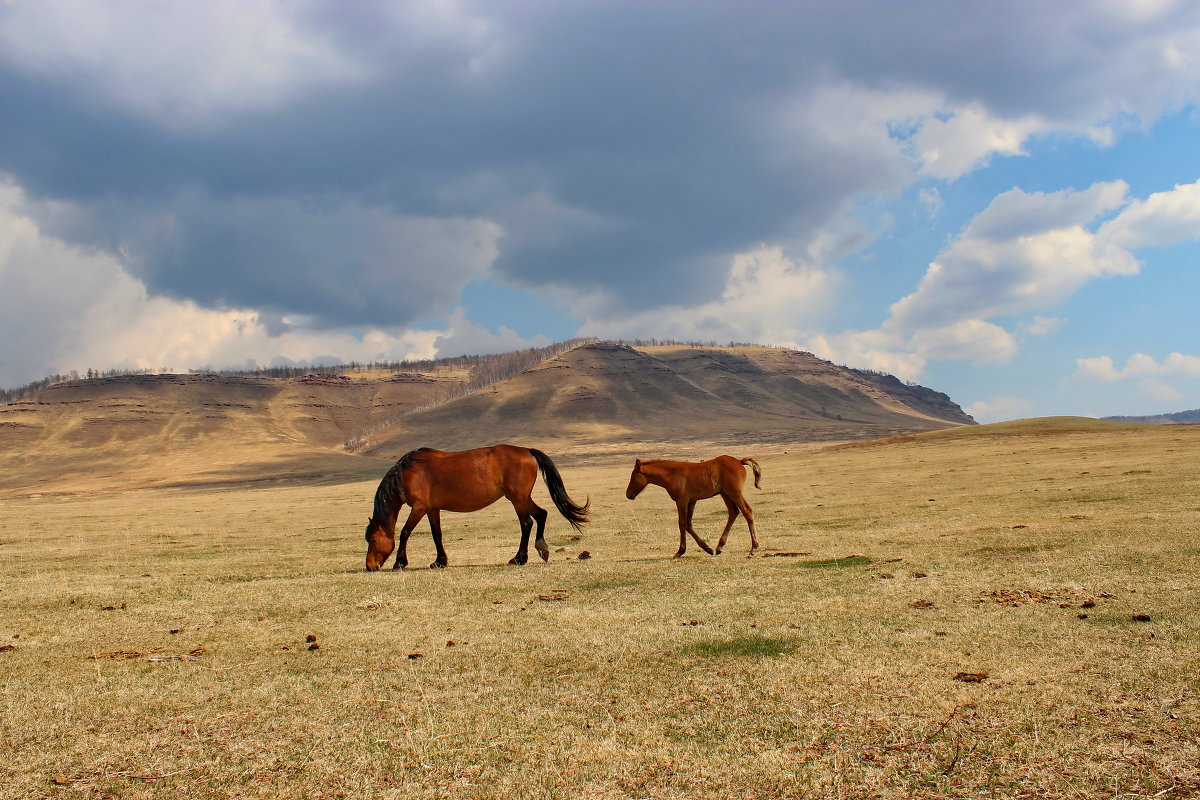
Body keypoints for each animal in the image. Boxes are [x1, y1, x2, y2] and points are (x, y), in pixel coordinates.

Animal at [364, 443, 590, 568]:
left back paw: (519, 558)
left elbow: (404, 532)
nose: (370, 566)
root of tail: (527, 451)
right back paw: (542, 549)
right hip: (523, 497)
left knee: (526, 523)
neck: (407, 473)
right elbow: (437, 535)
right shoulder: (432, 509)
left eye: (373, 540)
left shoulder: (419, 507)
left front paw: (399, 562)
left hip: (517, 499)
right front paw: (440, 561)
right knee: (541, 514)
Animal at [624, 455, 763, 556]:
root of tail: (739, 461)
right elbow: (688, 524)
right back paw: (719, 547)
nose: (628, 495)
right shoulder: (692, 501)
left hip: (734, 493)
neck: (672, 474)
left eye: (634, 477)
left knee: (747, 512)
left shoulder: (681, 501)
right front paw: (707, 548)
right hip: (725, 494)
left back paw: (753, 548)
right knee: (733, 513)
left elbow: (682, 524)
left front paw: (680, 551)